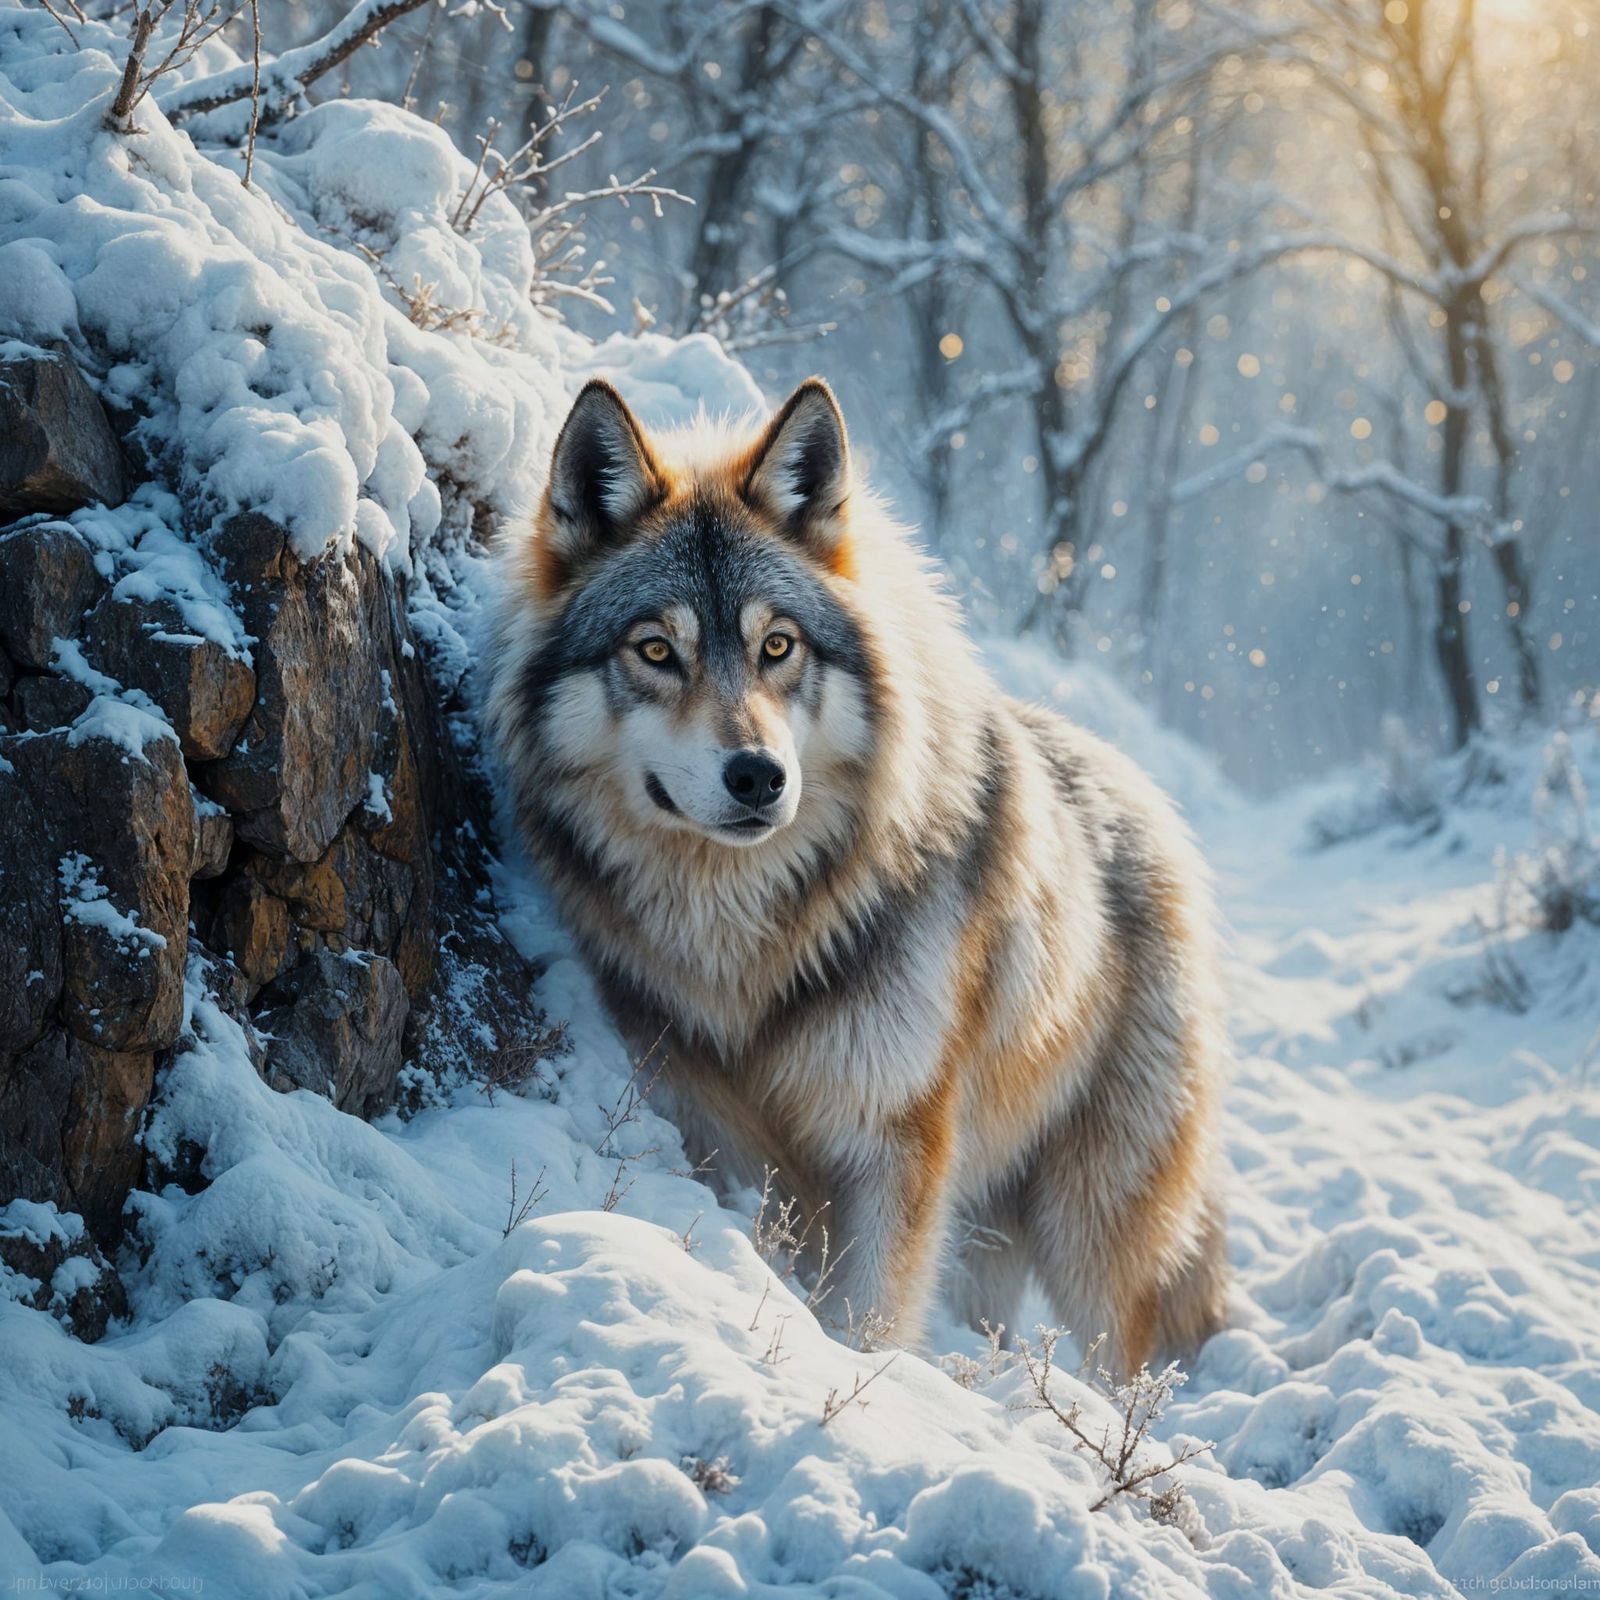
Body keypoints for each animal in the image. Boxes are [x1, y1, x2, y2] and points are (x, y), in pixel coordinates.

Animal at [488, 375, 1229, 1370]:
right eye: (656, 651)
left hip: (1091, 1236)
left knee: (1128, 1362)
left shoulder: (894, 1140)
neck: (751, 943)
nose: (758, 776)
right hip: (991, 1230)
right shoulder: (725, 1136)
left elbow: (869, 1317)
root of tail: (1141, 795)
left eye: (777, 647)